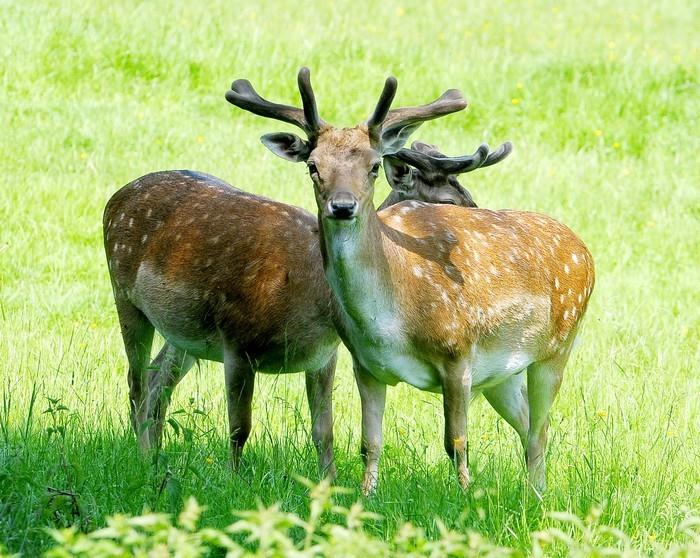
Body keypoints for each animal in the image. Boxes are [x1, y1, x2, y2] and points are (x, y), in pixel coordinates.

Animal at [102, 72, 492, 482]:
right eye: (313, 166)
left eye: (372, 167)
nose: (342, 206)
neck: (310, 299)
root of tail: (118, 194)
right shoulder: (236, 339)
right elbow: (239, 428)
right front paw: (233, 483)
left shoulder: (324, 355)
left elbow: (324, 432)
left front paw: (328, 486)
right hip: (124, 294)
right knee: (136, 382)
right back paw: (142, 459)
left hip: (184, 332)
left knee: (159, 378)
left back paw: (155, 458)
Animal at [228, 68, 596, 496]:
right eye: (313, 166)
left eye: (373, 166)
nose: (343, 206)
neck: (391, 317)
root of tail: (584, 249)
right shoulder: (365, 364)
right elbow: (369, 442)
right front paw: (365, 498)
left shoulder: (458, 352)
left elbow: (456, 442)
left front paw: (464, 497)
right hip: (502, 373)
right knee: (528, 426)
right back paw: (533, 494)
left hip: (557, 347)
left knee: (540, 430)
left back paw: (535, 498)